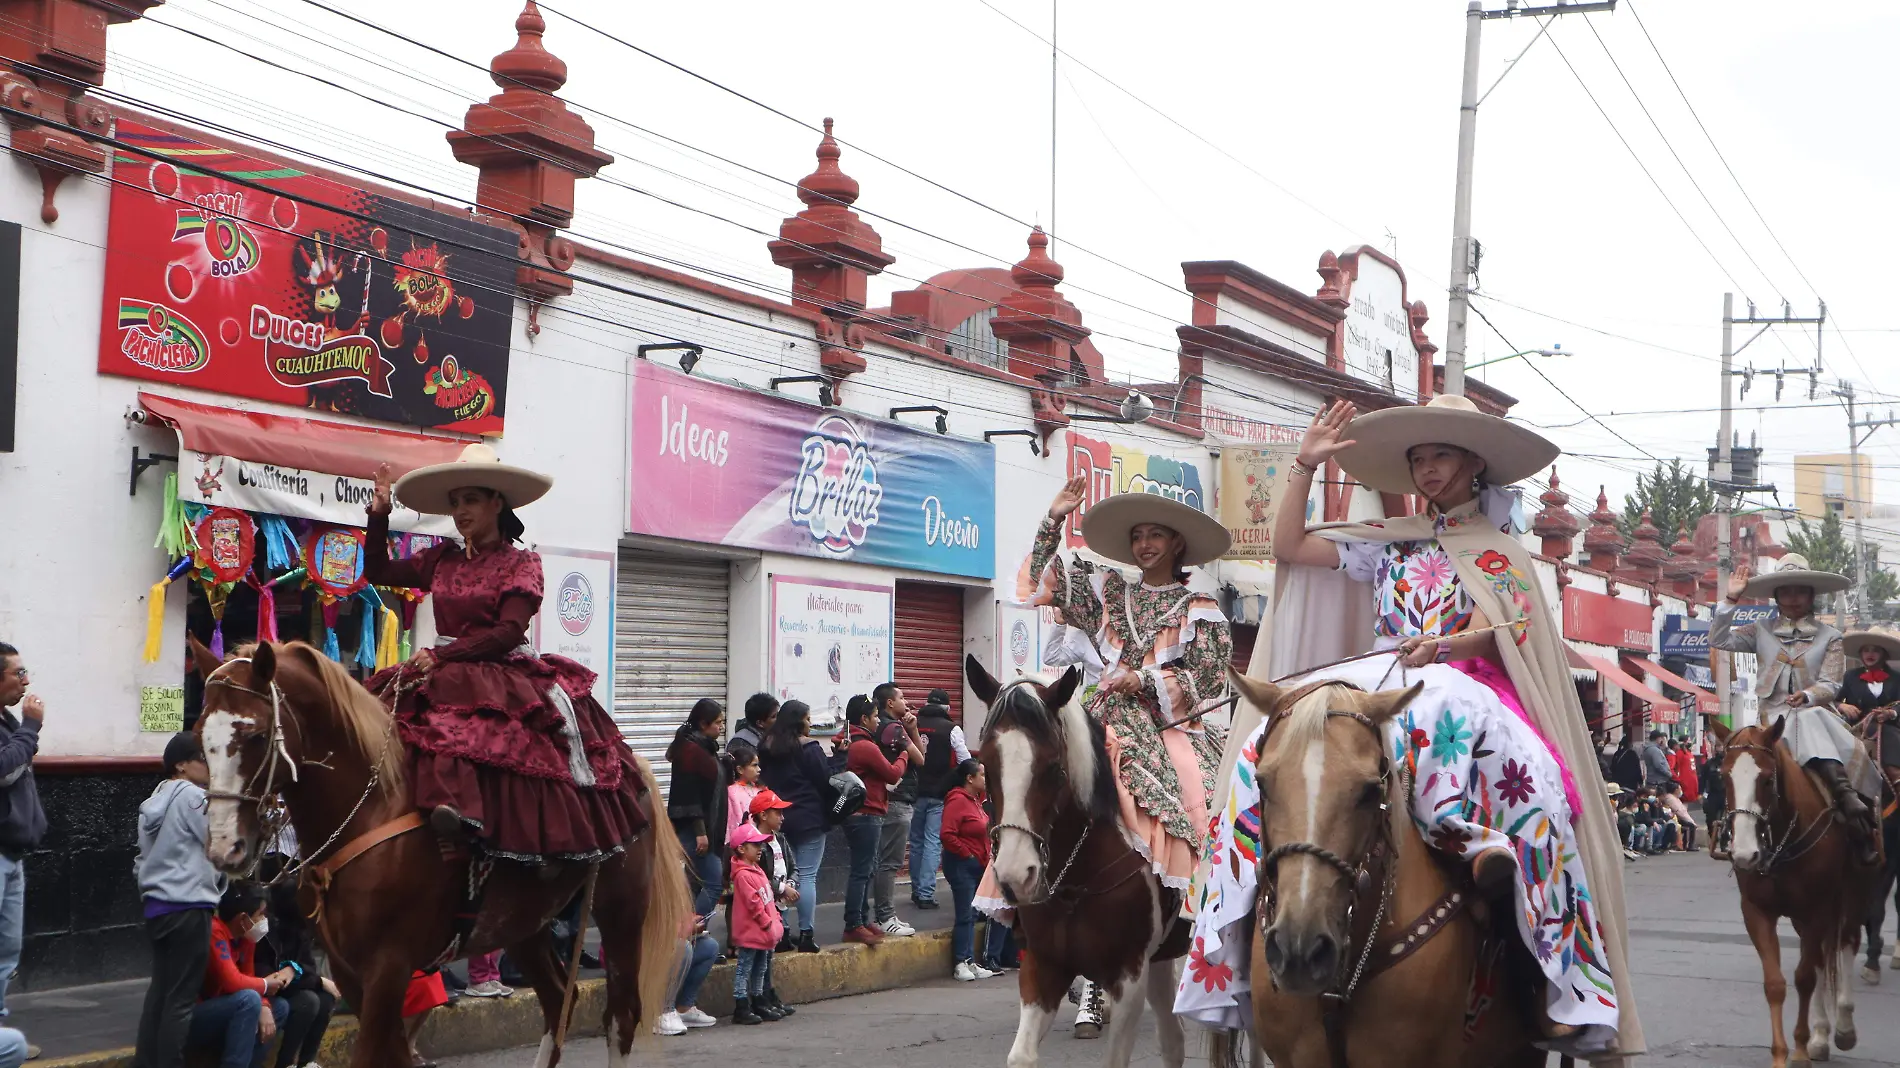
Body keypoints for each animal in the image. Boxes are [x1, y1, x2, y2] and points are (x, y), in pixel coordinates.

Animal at [183, 634, 691, 1064]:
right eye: (200, 735)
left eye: (254, 735)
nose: (226, 847)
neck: (372, 807)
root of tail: (631, 765)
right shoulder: (351, 972)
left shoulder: (389, 966)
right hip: (523, 924)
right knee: (556, 1004)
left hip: (621, 909)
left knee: (621, 1017)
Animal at [965, 657, 1185, 1064]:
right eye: (985, 762)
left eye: (1053, 767)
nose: (1016, 877)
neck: (1077, 878)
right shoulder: (1043, 965)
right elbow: (1021, 1056)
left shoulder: (1130, 975)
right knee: (1172, 1039)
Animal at [1717, 714, 1877, 1064]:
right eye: (1724, 777)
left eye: (1766, 780)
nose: (1744, 855)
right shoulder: (1757, 911)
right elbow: (1776, 983)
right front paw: (1781, 1053)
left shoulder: (1817, 908)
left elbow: (1805, 978)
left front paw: (1801, 1049)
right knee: (1820, 957)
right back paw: (1820, 1034)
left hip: (1854, 891)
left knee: (1846, 942)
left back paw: (1843, 1026)